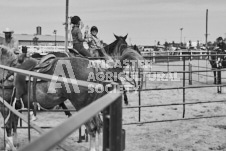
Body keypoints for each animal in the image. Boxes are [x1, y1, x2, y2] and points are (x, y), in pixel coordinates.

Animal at [0, 34, 144, 151]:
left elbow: (8, 126)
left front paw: (9, 145)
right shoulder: (14, 105)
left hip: (82, 105)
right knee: (97, 126)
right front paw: (14, 144)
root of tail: (94, 68)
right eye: (123, 45)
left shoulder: (6, 104)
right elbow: (13, 124)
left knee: (92, 128)